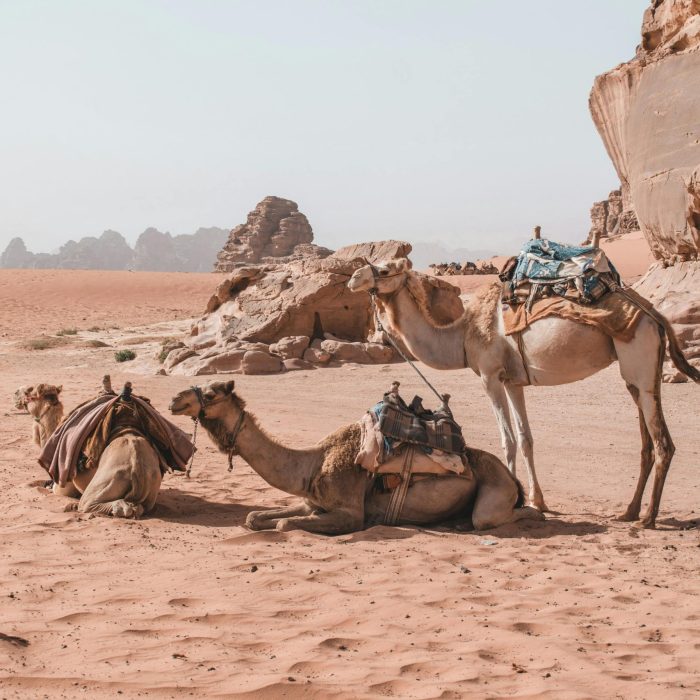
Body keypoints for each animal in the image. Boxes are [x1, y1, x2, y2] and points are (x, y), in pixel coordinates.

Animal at [168, 380, 543, 534]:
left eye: (212, 394)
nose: (175, 399)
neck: (312, 464)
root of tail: (511, 477)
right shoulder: (311, 502)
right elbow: (255, 517)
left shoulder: (350, 512)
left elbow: (285, 524)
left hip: (494, 490)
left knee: (498, 516)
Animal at [347, 258, 700, 528]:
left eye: (384, 268)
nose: (353, 278)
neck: (462, 336)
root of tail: (655, 314)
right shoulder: (513, 381)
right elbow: (526, 438)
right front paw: (537, 500)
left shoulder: (489, 376)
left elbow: (508, 440)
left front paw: (514, 497)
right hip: (636, 374)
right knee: (646, 442)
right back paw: (628, 512)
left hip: (639, 356)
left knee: (663, 443)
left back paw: (648, 518)